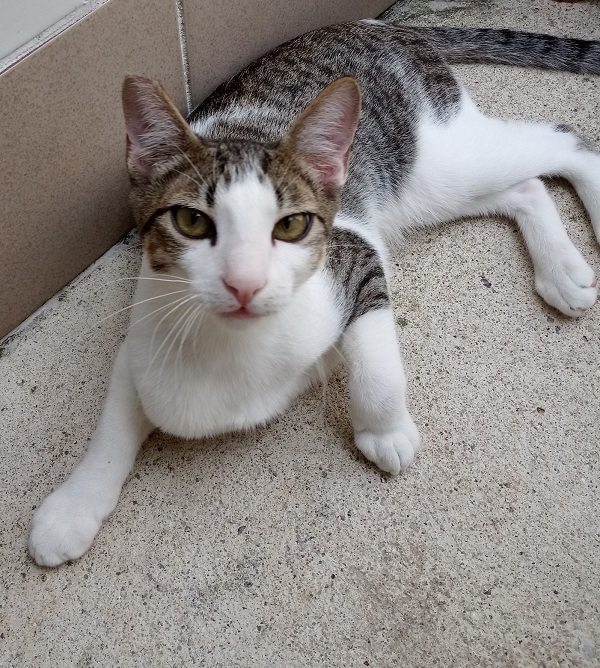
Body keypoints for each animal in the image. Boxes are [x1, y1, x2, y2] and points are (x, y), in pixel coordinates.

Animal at [29, 19, 600, 564]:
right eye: (191, 221)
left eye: (291, 226)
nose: (245, 282)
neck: (239, 347)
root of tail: (379, 25)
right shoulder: (144, 336)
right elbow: (112, 425)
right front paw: (71, 508)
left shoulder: (357, 257)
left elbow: (375, 357)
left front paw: (384, 430)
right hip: (428, 192)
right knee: (526, 187)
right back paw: (561, 269)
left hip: (438, 154)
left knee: (562, 139)